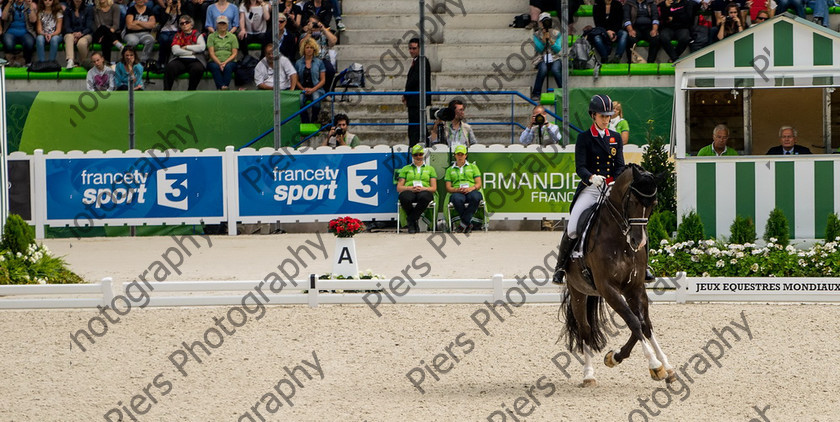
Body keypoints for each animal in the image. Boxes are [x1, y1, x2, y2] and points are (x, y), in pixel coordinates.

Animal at [556, 163, 676, 388]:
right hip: (578, 291)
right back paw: (588, 375)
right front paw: (655, 365)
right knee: (585, 329)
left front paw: (665, 365)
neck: (620, 240)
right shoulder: (608, 289)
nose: (638, 241)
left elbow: (644, 324)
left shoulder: (635, 287)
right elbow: (633, 321)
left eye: (654, 203)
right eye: (634, 201)